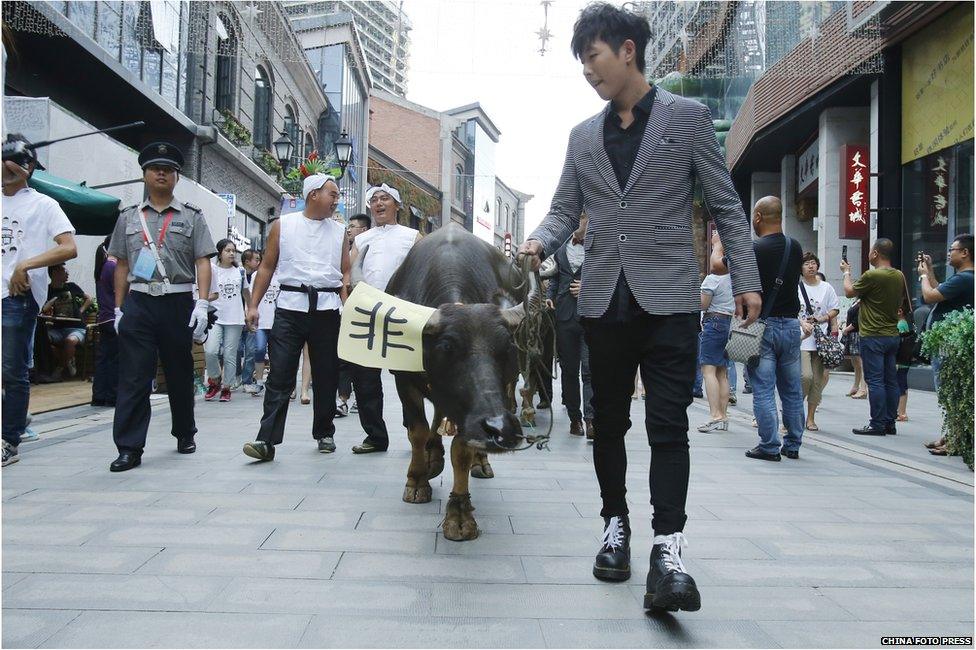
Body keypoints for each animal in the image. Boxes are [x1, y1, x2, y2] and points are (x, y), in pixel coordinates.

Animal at [384, 225, 532, 540]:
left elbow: (462, 450)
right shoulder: (403, 379)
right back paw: (432, 458)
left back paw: (479, 463)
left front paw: (460, 514)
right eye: (447, 347)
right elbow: (416, 431)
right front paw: (417, 482)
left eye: (507, 348)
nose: (500, 428)